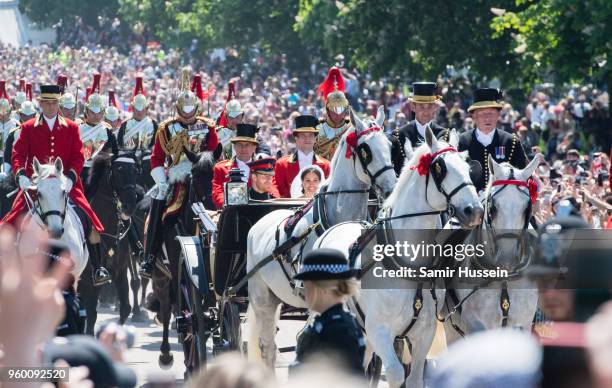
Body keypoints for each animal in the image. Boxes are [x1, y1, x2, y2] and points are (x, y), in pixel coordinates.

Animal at [314, 126, 486, 386]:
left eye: (468, 168)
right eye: (440, 168)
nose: (474, 211)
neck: (406, 261)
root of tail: (338, 226)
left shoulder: (424, 333)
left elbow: (415, 377)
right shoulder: (379, 330)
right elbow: (396, 373)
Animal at [444, 154, 540, 342]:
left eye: (527, 208)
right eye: (493, 207)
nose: (507, 260)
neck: (504, 279)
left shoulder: (522, 323)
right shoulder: (475, 324)